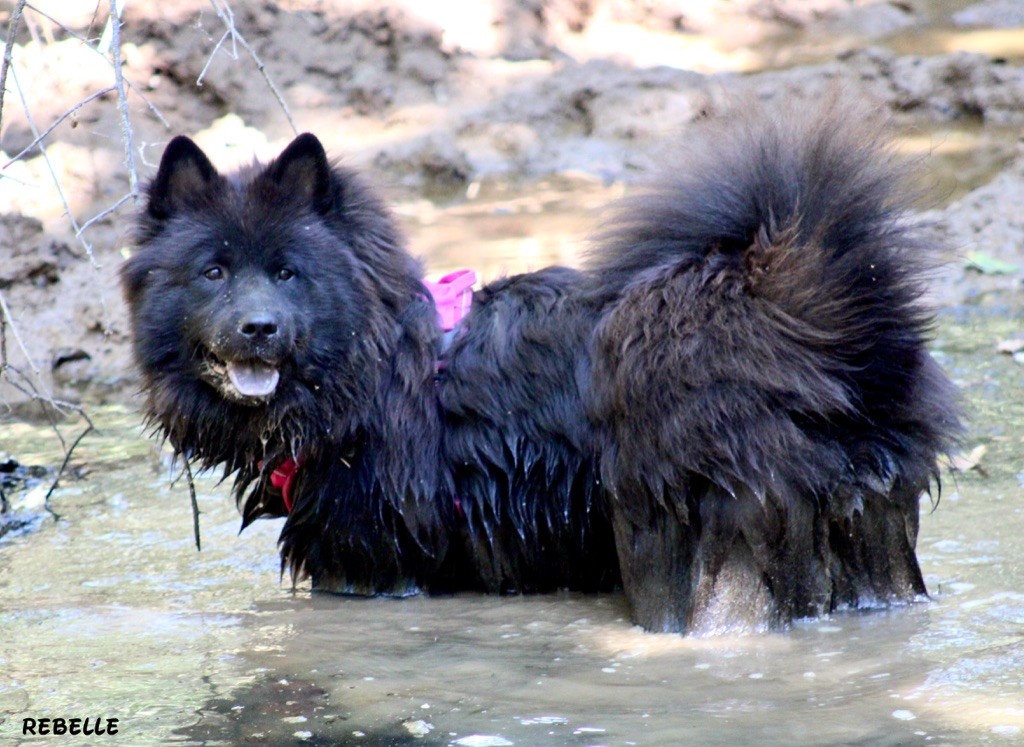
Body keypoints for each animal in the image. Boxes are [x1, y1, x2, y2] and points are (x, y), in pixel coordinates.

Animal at [123, 103, 962, 631]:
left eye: (288, 272)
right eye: (213, 272)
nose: (259, 327)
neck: (370, 363)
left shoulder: (371, 561)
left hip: (686, 535)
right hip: (872, 543)